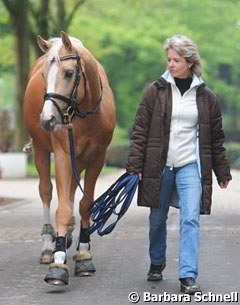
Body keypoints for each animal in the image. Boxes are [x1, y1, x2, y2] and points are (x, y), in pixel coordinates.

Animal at [23, 31, 116, 284]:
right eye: (44, 75)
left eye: (69, 73)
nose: (47, 119)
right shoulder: (64, 155)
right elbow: (62, 208)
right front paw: (58, 262)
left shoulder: (98, 157)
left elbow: (85, 204)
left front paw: (84, 253)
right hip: (42, 151)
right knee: (46, 190)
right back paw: (49, 245)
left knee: (73, 191)